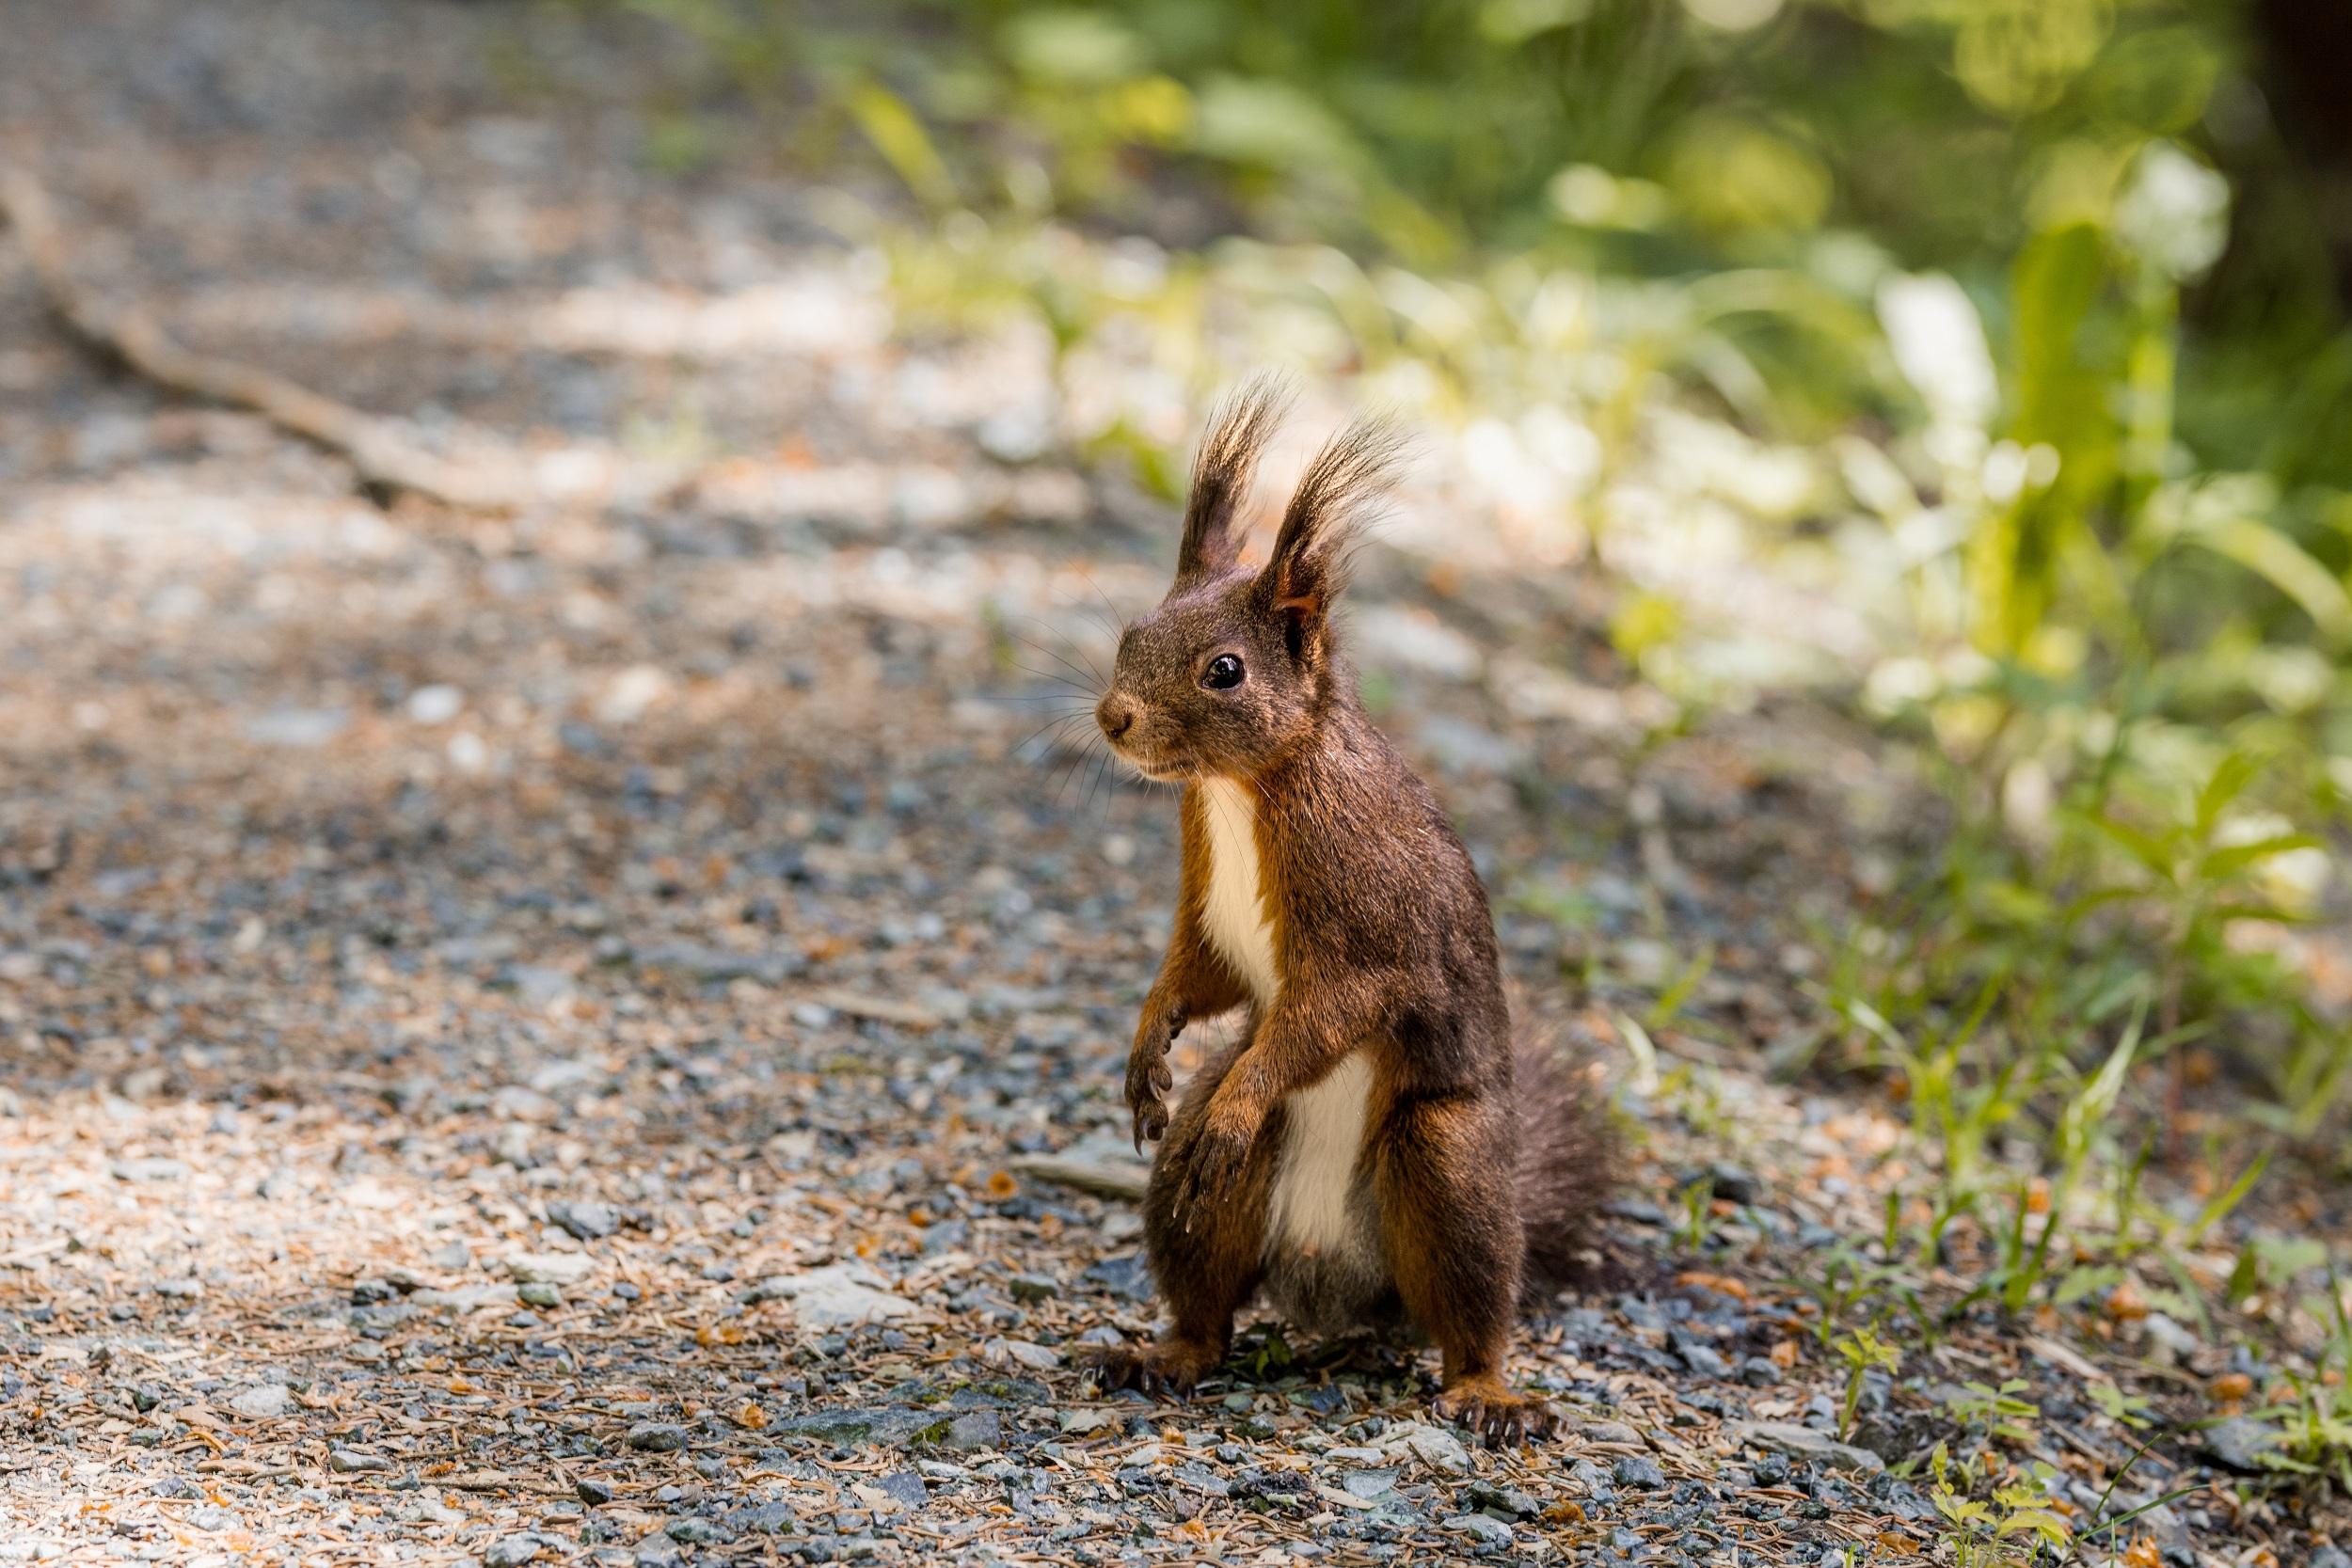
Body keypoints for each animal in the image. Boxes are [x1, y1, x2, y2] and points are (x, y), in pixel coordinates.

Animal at [1087, 380, 1609, 1448]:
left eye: (1225, 670)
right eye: (1130, 634)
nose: (1114, 717)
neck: (1243, 789)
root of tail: (1332, 1286)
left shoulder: (1365, 919)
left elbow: (1327, 1009)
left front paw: (1223, 1076)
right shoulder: (1207, 912)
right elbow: (1195, 975)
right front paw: (1144, 1046)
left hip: (1446, 1158)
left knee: (1470, 1309)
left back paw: (1490, 1393)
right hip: (1203, 1205)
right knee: (1207, 1296)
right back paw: (1162, 1351)